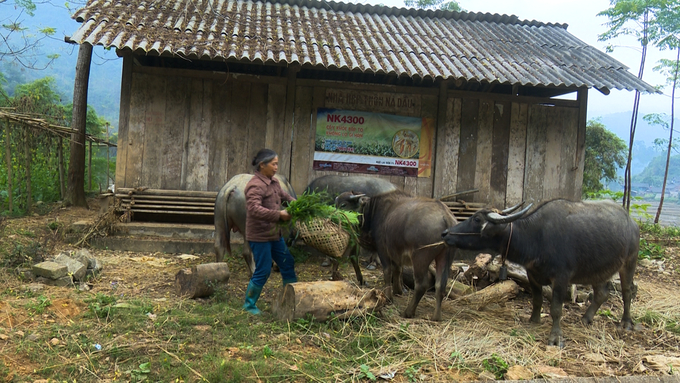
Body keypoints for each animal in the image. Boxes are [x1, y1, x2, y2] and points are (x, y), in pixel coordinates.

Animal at [334, 191, 456, 320]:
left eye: (343, 205)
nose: (333, 217)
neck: (373, 211)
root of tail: (446, 217)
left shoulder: (383, 250)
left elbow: (387, 272)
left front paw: (388, 296)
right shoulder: (396, 253)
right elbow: (398, 270)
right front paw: (398, 290)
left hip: (420, 257)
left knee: (421, 285)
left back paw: (408, 312)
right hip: (445, 258)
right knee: (440, 286)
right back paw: (436, 316)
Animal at [440, 200, 636, 346]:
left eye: (477, 219)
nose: (445, 233)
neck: (536, 236)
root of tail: (631, 222)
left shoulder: (561, 278)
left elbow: (556, 308)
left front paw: (555, 337)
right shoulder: (532, 274)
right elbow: (537, 300)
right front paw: (534, 320)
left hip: (629, 262)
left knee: (627, 292)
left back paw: (626, 322)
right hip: (598, 270)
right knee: (602, 294)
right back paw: (586, 318)